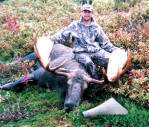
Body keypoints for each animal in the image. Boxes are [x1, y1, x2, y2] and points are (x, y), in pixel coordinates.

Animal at [0, 35, 131, 111]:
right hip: (29, 56)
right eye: (68, 83)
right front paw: (4, 86)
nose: (70, 105)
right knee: (14, 62)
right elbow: (15, 82)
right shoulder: (38, 73)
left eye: (85, 88)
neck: (56, 84)